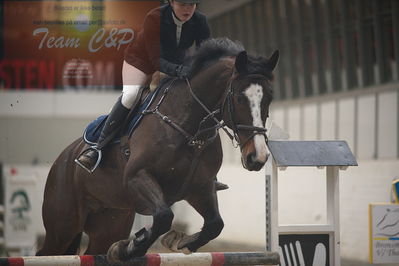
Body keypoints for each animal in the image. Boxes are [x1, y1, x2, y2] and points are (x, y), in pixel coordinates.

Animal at [37, 37, 280, 262]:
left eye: (269, 97)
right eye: (239, 97)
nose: (258, 157)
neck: (190, 129)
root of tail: (64, 157)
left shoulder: (200, 188)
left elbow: (214, 224)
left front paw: (180, 242)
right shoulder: (137, 176)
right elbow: (163, 216)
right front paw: (132, 246)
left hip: (110, 221)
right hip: (63, 224)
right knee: (46, 251)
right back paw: (89, 157)